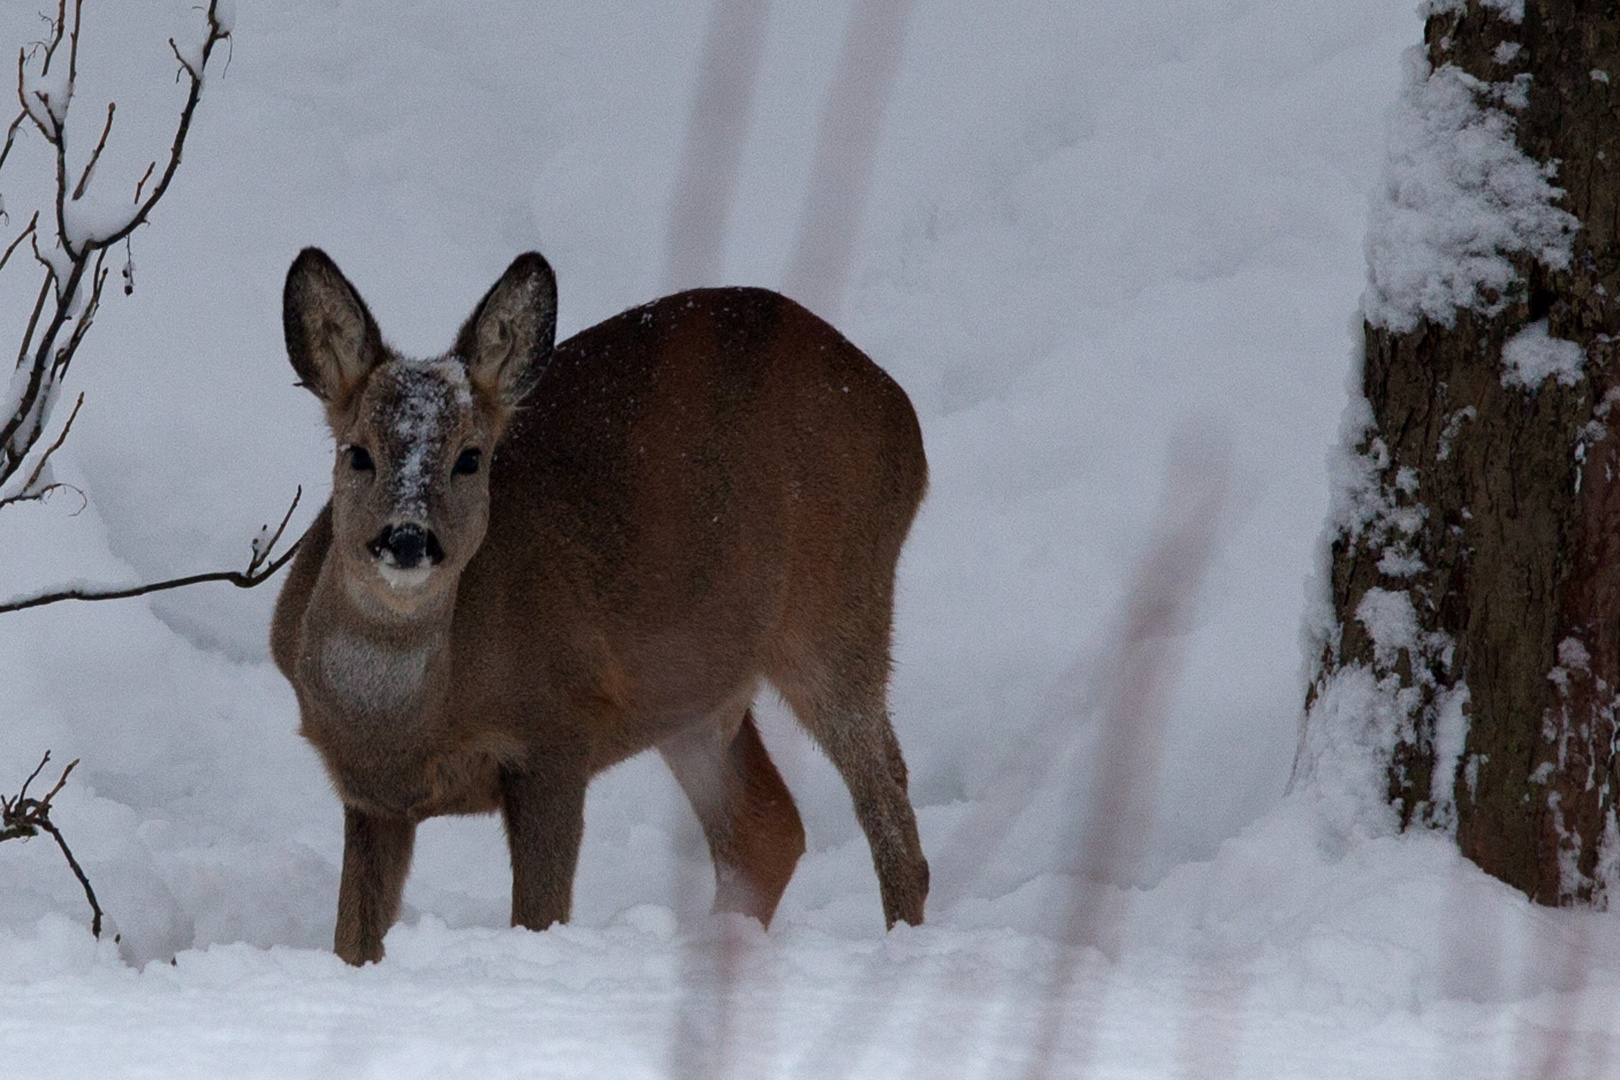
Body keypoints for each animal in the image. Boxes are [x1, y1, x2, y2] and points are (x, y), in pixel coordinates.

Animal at [265, 250, 926, 965]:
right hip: (694, 690)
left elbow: (539, 916)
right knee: (765, 828)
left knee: (887, 811)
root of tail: (902, 414)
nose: (408, 538)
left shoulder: (559, 725)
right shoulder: (370, 795)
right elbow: (353, 942)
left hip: (841, 605)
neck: (402, 723)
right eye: (357, 452)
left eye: (470, 458)